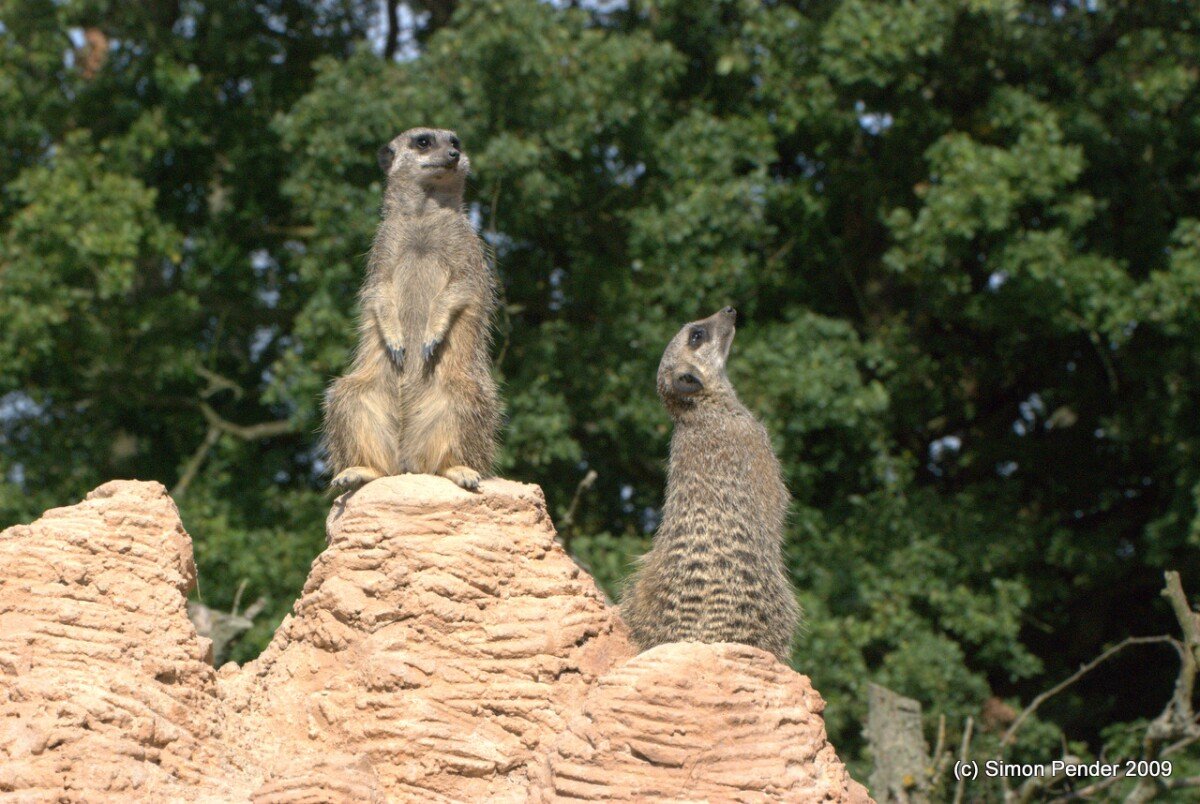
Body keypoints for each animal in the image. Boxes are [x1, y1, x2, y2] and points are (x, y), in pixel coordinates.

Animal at [322, 127, 499, 493]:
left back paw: (459, 469)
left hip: (465, 390)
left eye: (456, 142)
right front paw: (395, 337)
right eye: (423, 141)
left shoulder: (467, 247)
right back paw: (359, 470)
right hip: (360, 392)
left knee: (466, 414)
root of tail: (407, 459)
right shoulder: (383, 246)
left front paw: (432, 332)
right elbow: (379, 291)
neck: (423, 216)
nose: (453, 156)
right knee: (345, 399)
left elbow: (462, 286)